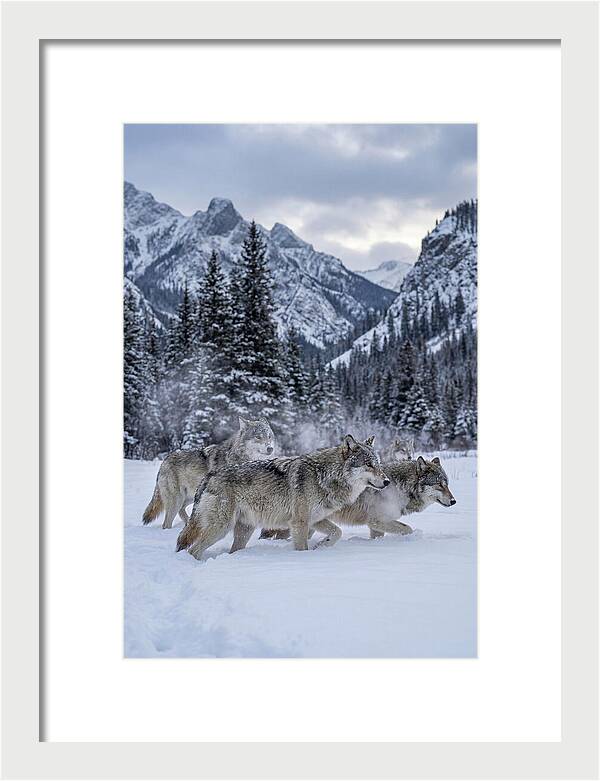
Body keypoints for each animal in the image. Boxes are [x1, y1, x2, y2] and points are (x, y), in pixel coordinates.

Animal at [142, 417, 275, 529]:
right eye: (258, 437)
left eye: (269, 436)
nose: (270, 448)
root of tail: (165, 460)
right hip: (177, 500)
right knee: (166, 523)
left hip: (190, 497)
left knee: (181, 511)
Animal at [175, 435, 388, 559]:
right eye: (368, 465)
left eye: (378, 464)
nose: (386, 481)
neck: (325, 476)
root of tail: (209, 476)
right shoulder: (299, 523)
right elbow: (302, 547)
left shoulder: (315, 520)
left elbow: (337, 532)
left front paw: (322, 546)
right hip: (221, 528)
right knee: (193, 549)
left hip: (244, 530)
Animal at [260, 456, 455, 543]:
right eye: (439, 485)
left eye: (447, 484)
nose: (454, 501)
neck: (399, 487)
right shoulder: (377, 521)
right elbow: (407, 529)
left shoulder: (376, 526)